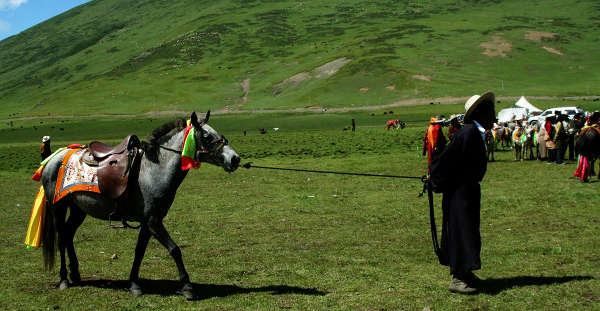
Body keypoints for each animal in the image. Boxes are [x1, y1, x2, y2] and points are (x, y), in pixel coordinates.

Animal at [38, 111, 240, 300]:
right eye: (206, 135)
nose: (235, 159)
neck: (153, 171)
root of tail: (55, 158)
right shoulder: (153, 221)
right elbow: (175, 249)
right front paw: (187, 287)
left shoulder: (148, 222)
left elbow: (139, 251)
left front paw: (134, 284)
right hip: (58, 207)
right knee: (61, 238)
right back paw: (64, 279)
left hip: (79, 210)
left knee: (68, 235)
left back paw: (76, 273)